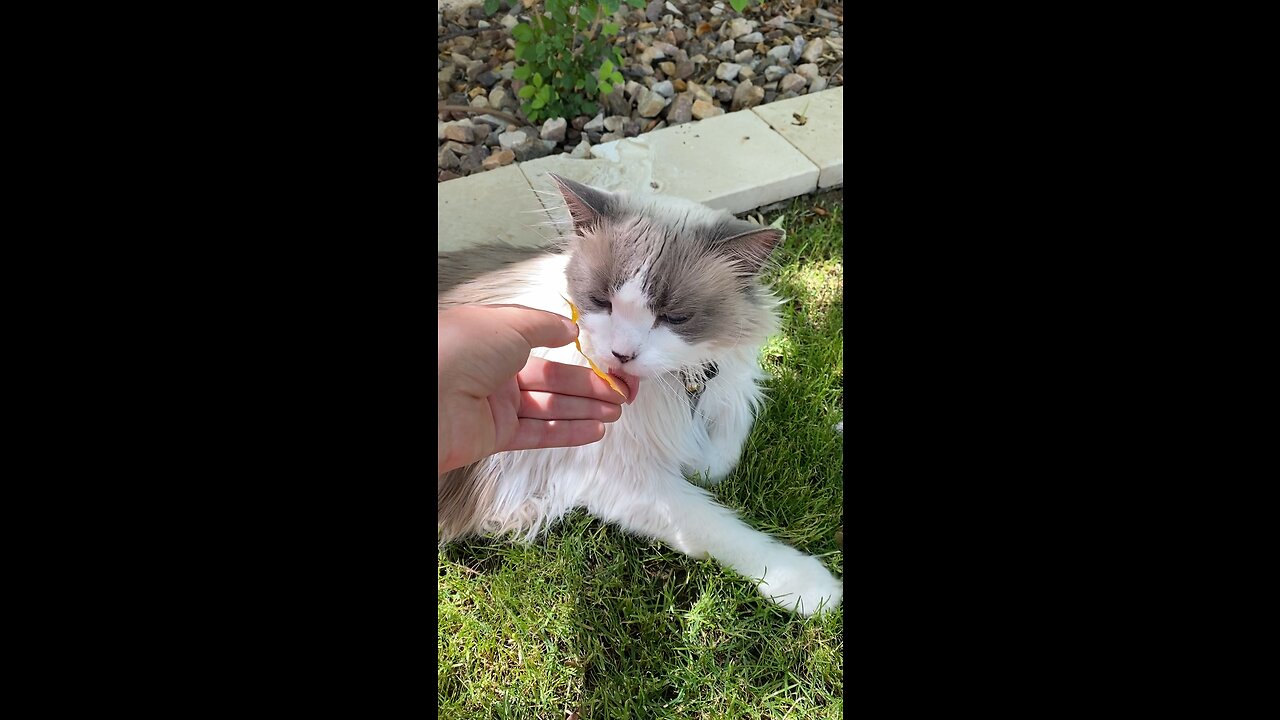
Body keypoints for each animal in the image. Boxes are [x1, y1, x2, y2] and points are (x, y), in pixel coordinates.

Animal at [435, 175, 844, 617]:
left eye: (675, 317)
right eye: (601, 301)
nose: (622, 354)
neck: (678, 385)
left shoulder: (729, 389)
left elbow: (720, 455)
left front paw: (699, 460)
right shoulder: (622, 479)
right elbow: (721, 529)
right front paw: (813, 588)